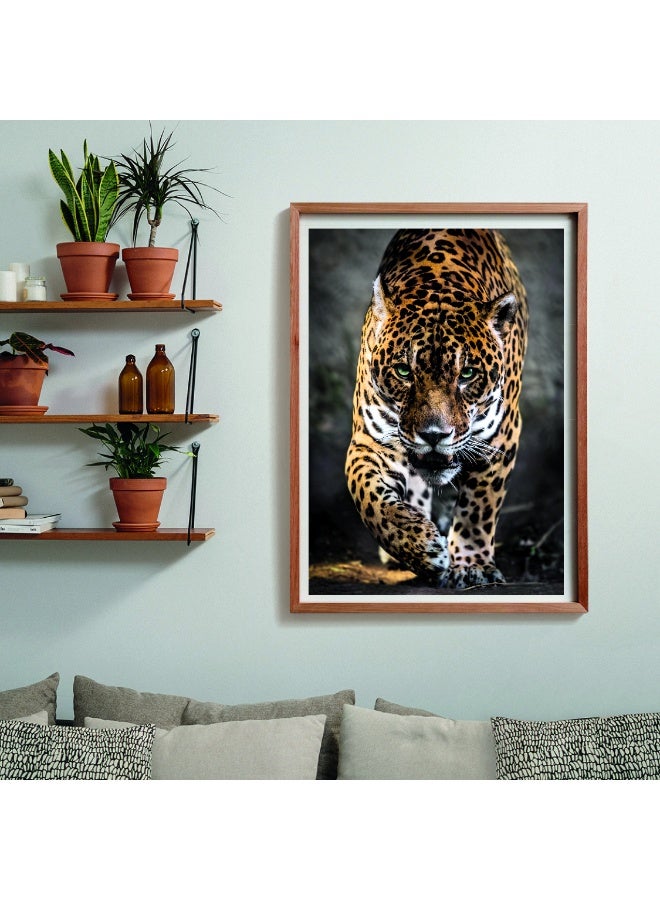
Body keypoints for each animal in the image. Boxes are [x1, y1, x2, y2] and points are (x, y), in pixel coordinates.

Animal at [344, 228, 528, 589]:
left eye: (467, 374)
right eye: (404, 371)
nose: (433, 435)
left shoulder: (500, 438)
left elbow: (479, 507)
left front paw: (472, 565)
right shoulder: (370, 440)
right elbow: (368, 496)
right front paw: (420, 547)